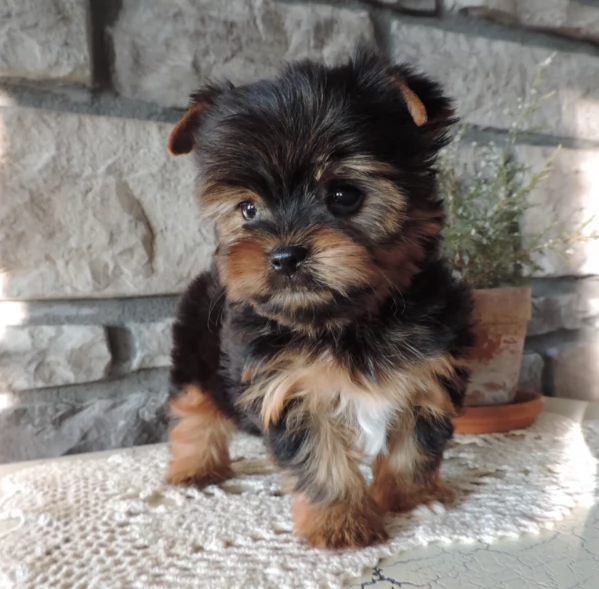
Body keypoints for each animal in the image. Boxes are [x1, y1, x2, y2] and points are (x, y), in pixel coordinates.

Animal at [163, 48, 474, 548]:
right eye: (248, 209)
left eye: (344, 194)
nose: (284, 255)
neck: (347, 321)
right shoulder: (289, 388)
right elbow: (319, 459)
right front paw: (341, 524)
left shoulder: (429, 371)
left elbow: (414, 443)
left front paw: (409, 499)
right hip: (194, 353)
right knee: (195, 410)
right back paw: (195, 467)